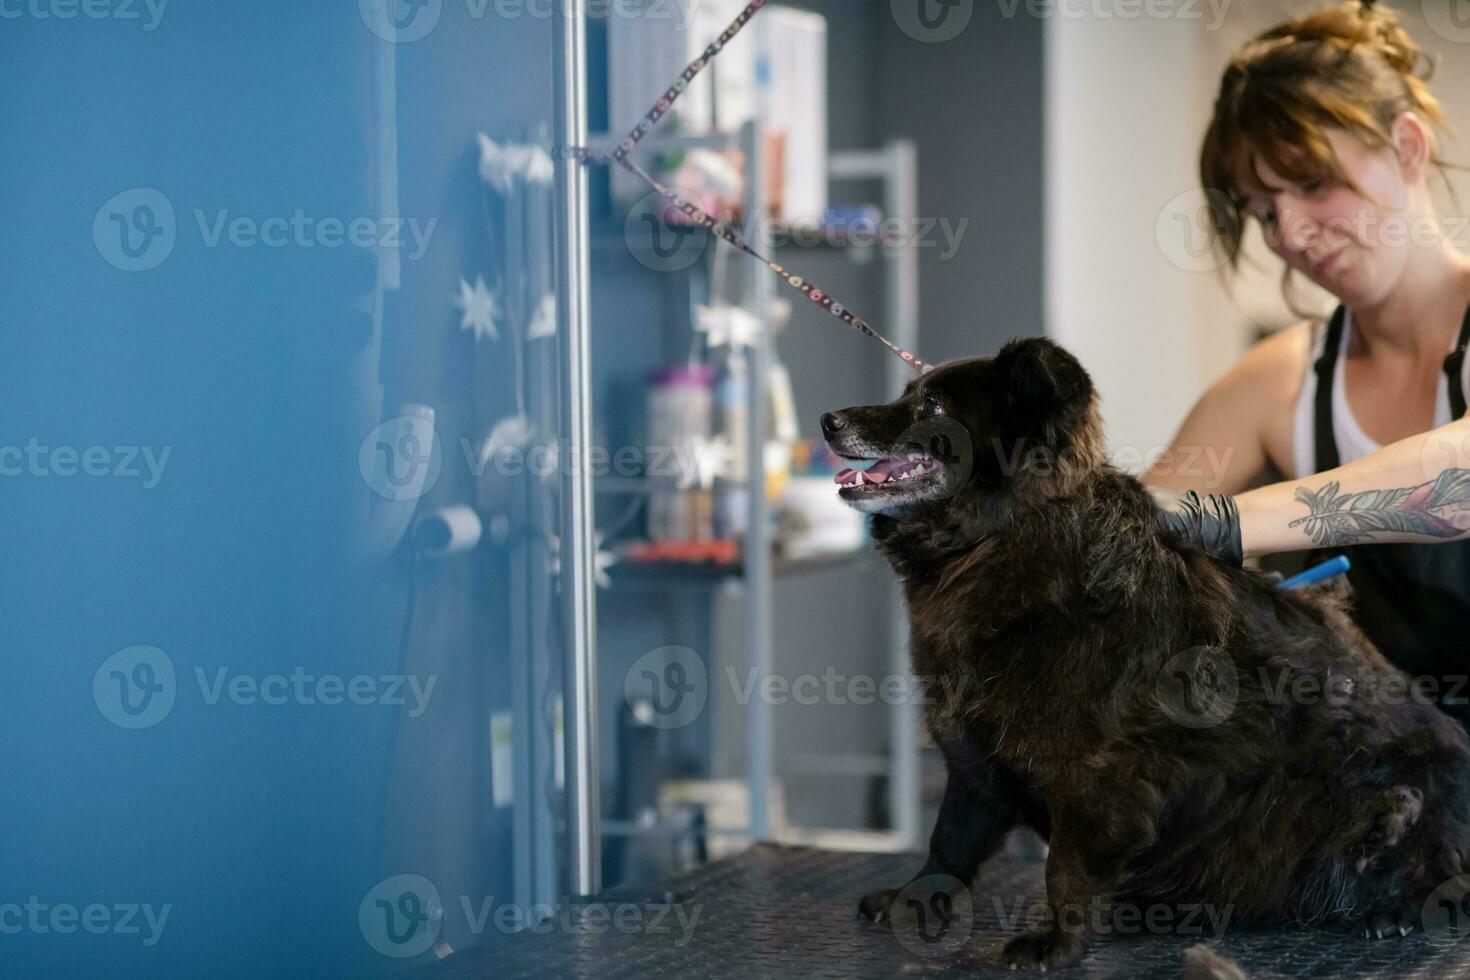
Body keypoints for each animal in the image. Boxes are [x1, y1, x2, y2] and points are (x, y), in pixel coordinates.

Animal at [823, 339, 1470, 975]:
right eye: (907, 394)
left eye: (932, 407)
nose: (829, 420)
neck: (996, 540)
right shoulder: (974, 756)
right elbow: (949, 840)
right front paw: (913, 900)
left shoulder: (1097, 772)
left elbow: (1064, 866)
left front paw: (1056, 941)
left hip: (1391, 797)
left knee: (1442, 867)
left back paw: (1400, 908)